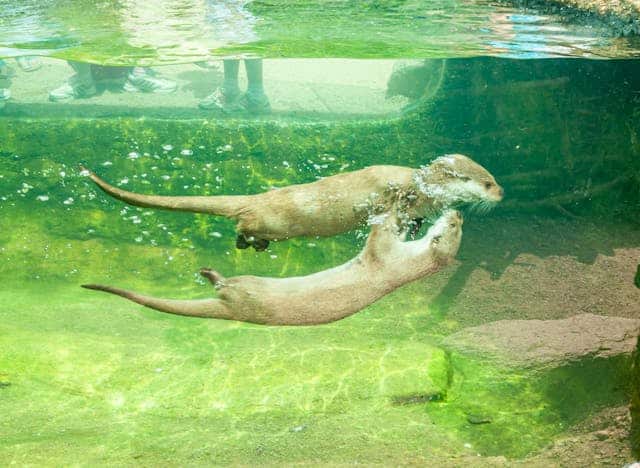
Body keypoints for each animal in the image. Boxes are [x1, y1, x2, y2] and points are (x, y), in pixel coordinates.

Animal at [82, 210, 462, 324]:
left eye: (455, 228)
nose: (457, 213)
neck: (407, 265)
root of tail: (232, 310)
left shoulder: (385, 259)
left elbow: (378, 239)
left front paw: (387, 213)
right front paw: (410, 219)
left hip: (246, 286)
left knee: (224, 285)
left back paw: (209, 274)